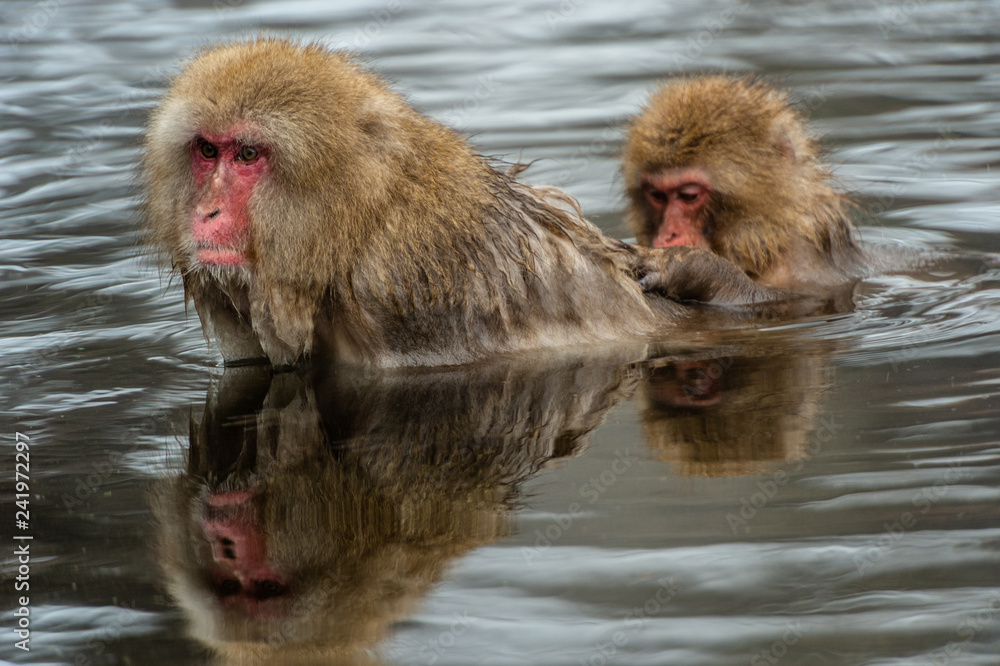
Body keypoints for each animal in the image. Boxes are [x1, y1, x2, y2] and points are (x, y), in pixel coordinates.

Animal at [623, 76, 868, 293]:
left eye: (689, 196)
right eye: (657, 195)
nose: (667, 236)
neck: (770, 236)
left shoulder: (802, 256)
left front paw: (685, 263)